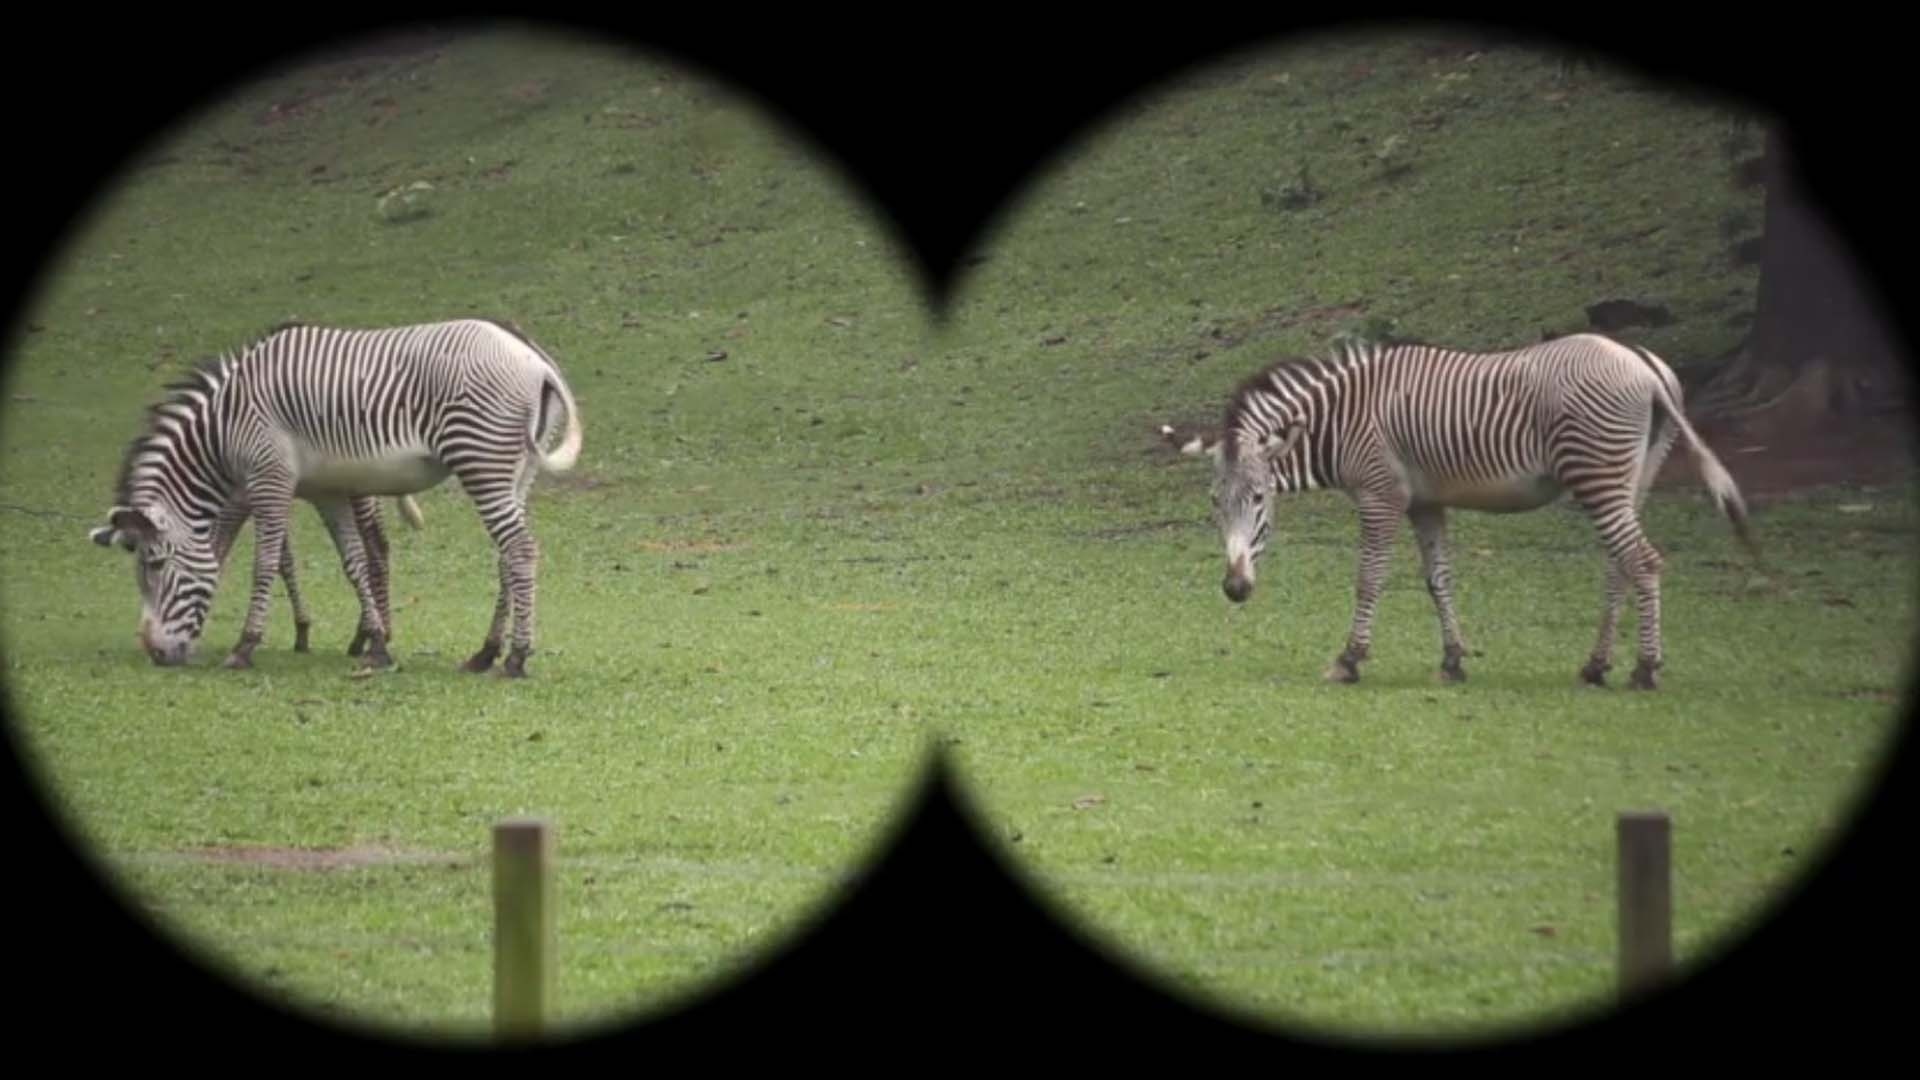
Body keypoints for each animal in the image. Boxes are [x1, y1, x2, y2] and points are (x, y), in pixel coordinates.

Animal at [89, 317, 583, 676]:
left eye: (154, 565)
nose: (154, 653)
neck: (222, 429)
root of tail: (533, 359)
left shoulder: (266, 481)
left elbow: (264, 562)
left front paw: (245, 646)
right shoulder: (328, 492)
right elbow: (354, 563)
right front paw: (377, 645)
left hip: (481, 460)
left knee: (520, 549)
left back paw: (516, 657)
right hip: (516, 469)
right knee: (507, 554)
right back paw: (486, 652)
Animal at [1169, 332, 1755, 689]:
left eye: (1260, 499)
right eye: (1215, 503)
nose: (1234, 589)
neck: (1342, 420)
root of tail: (1642, 362)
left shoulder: (1381, 496)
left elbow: (1369, 579)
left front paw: (1349, 659)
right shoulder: (1426, 503)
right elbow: (1438, 580)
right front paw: (1452, 661)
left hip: (1598, 473)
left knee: (1645, 562)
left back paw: (1645, 670)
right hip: (1632, 476)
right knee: (1621, 564)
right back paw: (1596, 665)